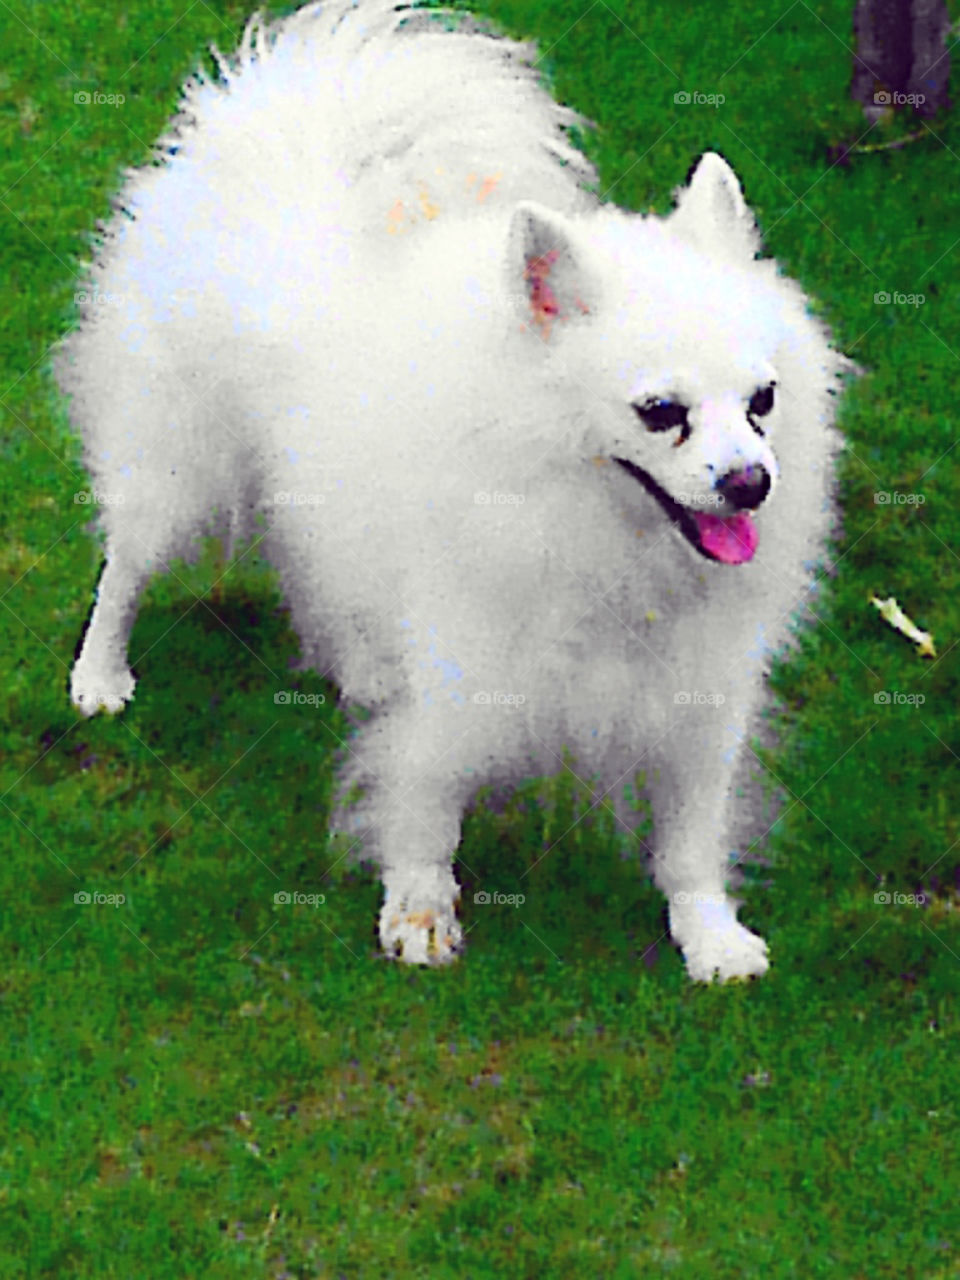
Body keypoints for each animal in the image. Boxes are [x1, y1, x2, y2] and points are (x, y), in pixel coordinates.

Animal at [58, 0, 855, 977]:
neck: (592, 524)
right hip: (174, 469)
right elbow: (430, 793)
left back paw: (361, 668)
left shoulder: (702, 693)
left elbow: (692, 833)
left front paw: (709, 932)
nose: (750, 484)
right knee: (126, 569)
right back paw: (100, 674)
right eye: (661, 412)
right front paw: (419, 907)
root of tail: (280, 135)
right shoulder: (466, 666)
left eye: (763, 401)